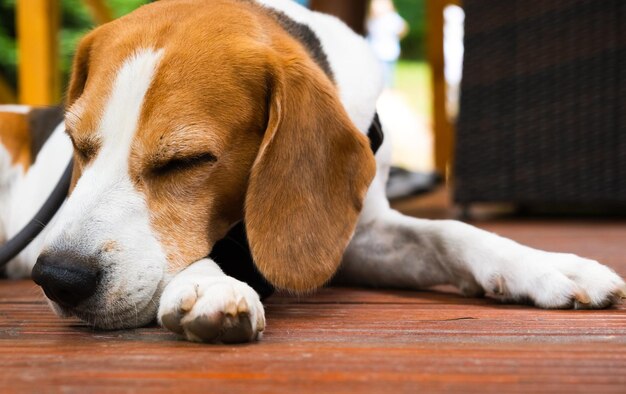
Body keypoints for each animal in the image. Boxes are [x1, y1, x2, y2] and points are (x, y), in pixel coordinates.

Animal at [1, 0, 624, 344]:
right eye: (77, 144)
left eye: (186, 161)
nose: (58, 278)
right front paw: (209, 283)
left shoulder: (360, 236)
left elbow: (452, 233)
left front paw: (546, 265)